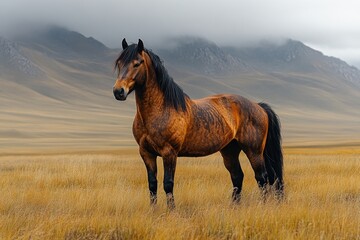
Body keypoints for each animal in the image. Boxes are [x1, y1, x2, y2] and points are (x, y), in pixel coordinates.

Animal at [112, 38, 284, 209]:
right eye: (119, 63)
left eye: (137, 63)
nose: (118, 91)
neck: (160, 109)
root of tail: (258, 106)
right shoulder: (146, 153)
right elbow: (152, 184)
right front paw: (153, 211)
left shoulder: (169, 153)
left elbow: (168, 183)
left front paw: (171, 211)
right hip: (230, 150)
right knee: (237, 176)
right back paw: (234, 206)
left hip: (254, 151)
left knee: (262, 178)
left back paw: (262, 205)